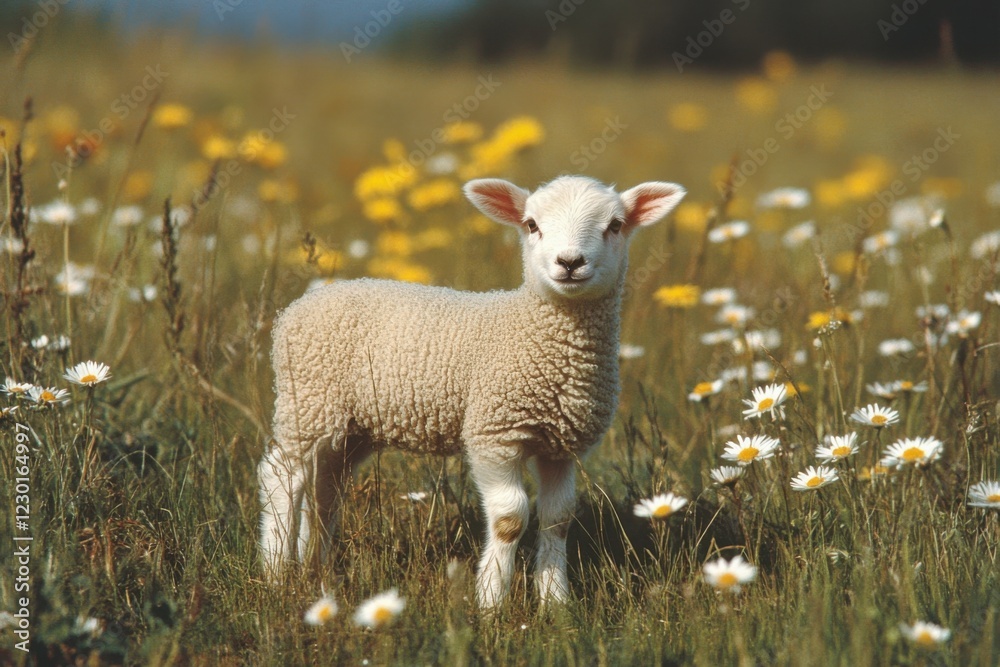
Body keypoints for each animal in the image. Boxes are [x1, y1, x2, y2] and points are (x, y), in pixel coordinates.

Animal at [258, 175, 685, 608]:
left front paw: (555, 603)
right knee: (283, 475)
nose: (569, 262)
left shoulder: (562, 446)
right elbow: (510, 519)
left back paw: (316, 569)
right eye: (532, 224)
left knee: (325, 487)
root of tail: (306, 301)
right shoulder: (493, 433)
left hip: (350, 425)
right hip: (308, 401)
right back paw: (276, 573)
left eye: (615, 225)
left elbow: (558, 518)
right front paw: (491, 601)